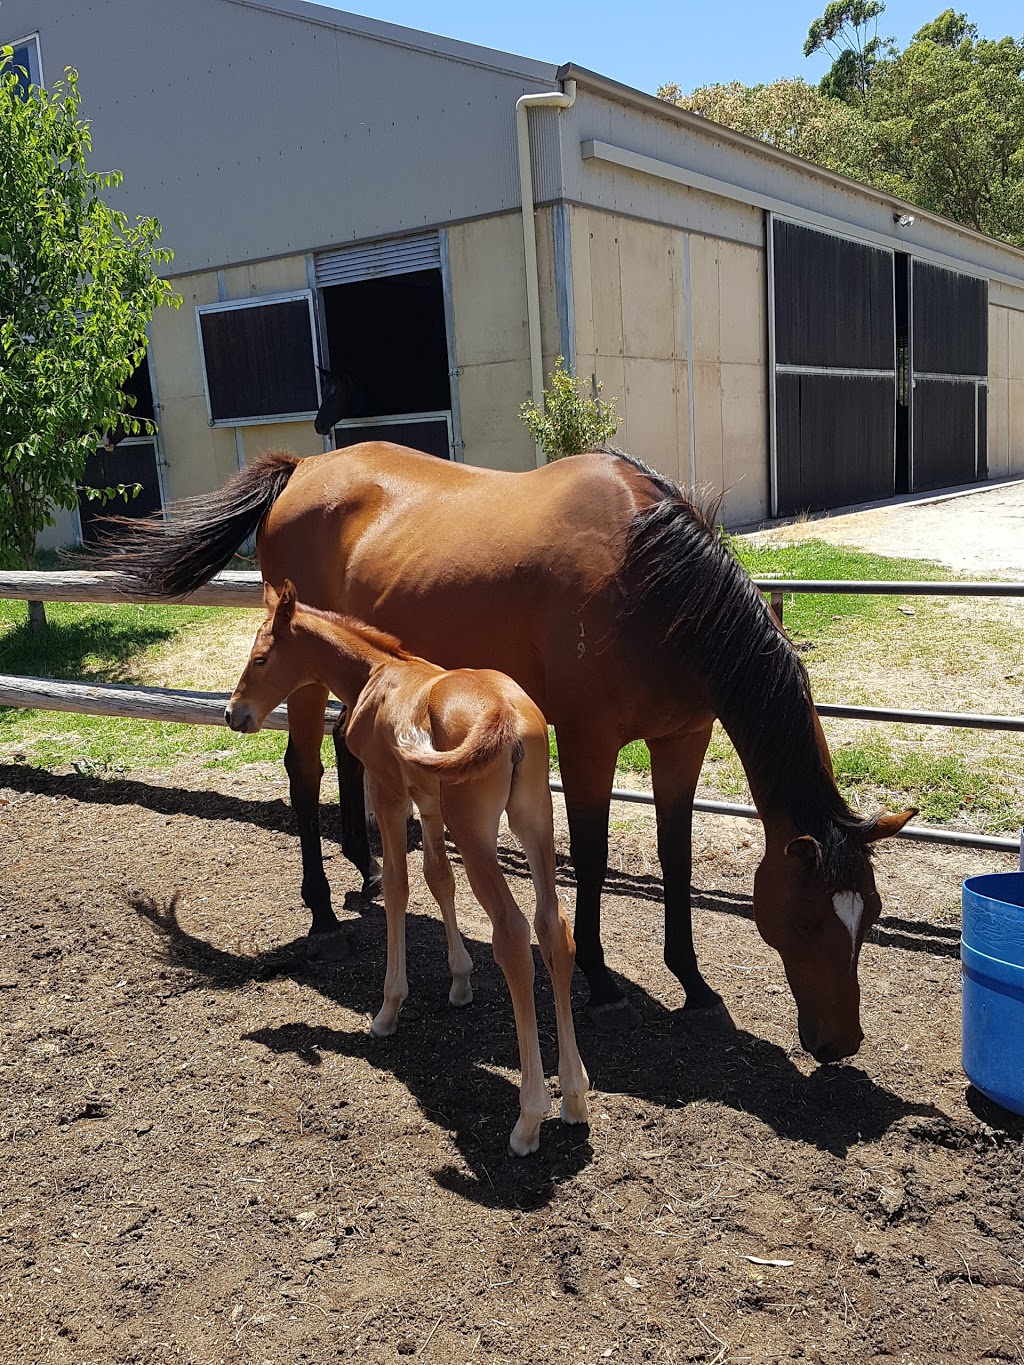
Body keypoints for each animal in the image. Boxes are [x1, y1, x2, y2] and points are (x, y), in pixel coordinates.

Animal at [226, 581, 592, 1157]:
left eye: (261, 658)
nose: (232, 713)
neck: (378, 675)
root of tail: (507, 719)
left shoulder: (389, 791)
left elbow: (398, 887)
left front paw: (389, 1009)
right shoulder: (429, 800)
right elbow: (438, 878)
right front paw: (460, 981)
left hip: (476, 830)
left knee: (513, 935)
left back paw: (529, 1119)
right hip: (534, 818)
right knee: (554, 930)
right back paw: (574, 1097)